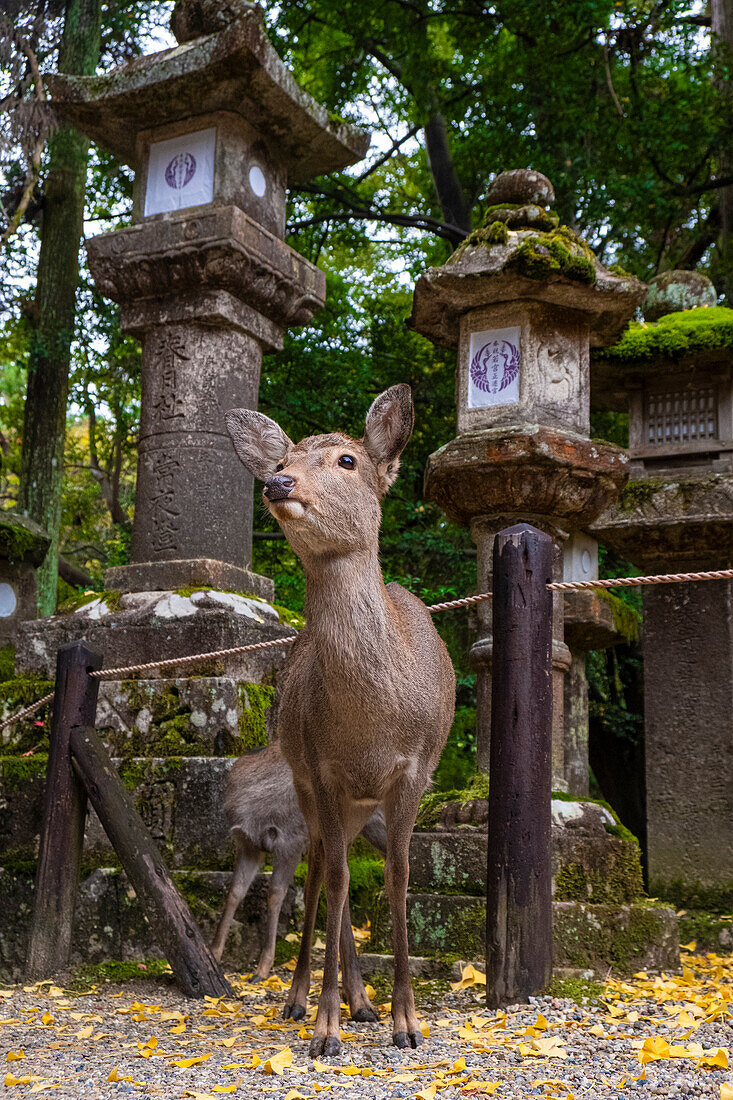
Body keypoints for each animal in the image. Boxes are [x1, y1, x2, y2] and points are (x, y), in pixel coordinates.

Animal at [208, 739, 385, 981]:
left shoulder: (290, 840)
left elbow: (275, 893)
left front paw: (262, 969)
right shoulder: (248, 844)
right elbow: (234, 892)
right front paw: (213, 954)